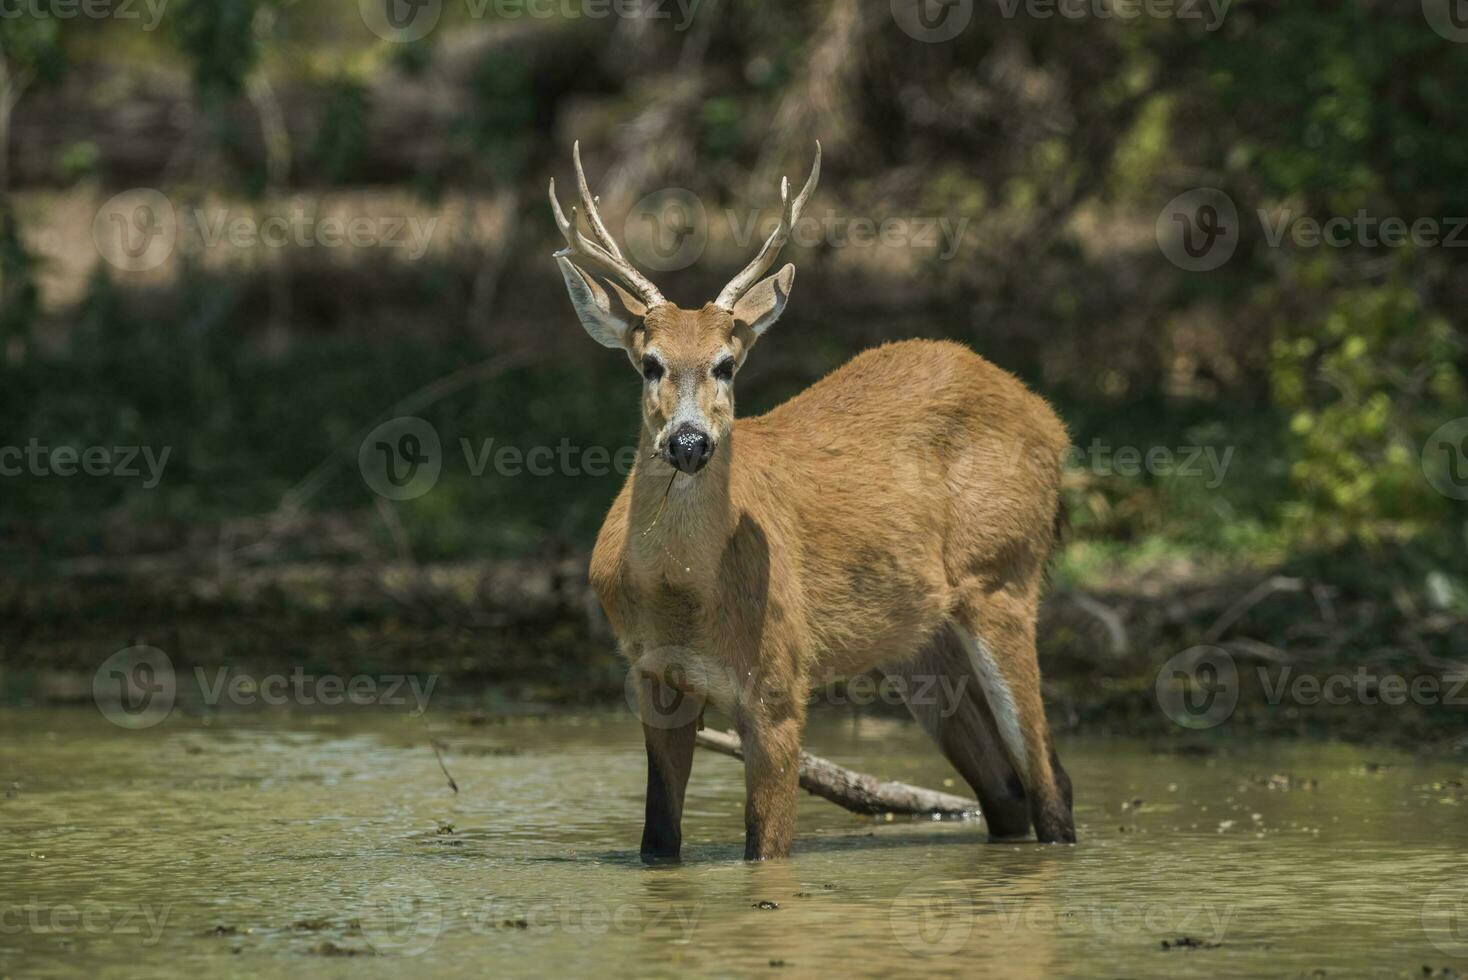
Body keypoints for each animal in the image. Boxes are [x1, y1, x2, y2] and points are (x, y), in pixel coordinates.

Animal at [551, 141, 1080, 862]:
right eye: (650, 362)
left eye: (726, 364)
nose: (689, 442)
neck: (680, 595)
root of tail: (1051, 422)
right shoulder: (653, 677)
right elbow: (658, 841)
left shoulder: (779, 681)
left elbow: (764, 848)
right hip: (919, 640)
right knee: (1007, 790)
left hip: (1004, 576)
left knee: (1051, 783)